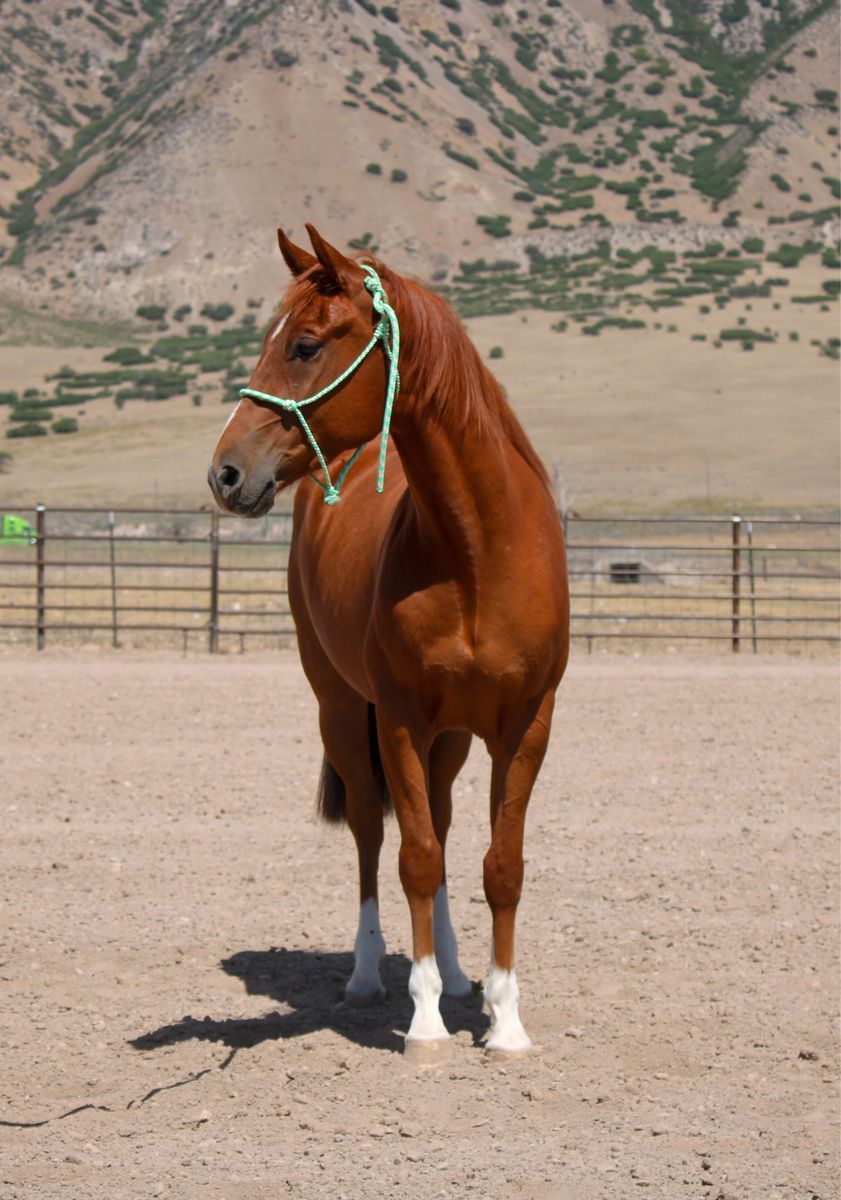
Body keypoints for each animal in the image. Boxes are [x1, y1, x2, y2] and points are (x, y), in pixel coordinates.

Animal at [208, 224, 569, 1058]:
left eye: (304, 345)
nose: (226, 473)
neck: (477, 553)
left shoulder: (524, 726)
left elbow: (499, 865)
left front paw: (503, 1020)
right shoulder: (401, 720)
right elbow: (414, 858)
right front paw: (426, 1020)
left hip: (452, 739)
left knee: (434, 818)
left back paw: (461, 972)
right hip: (342, 710)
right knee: (375, 833)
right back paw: (370, 974)